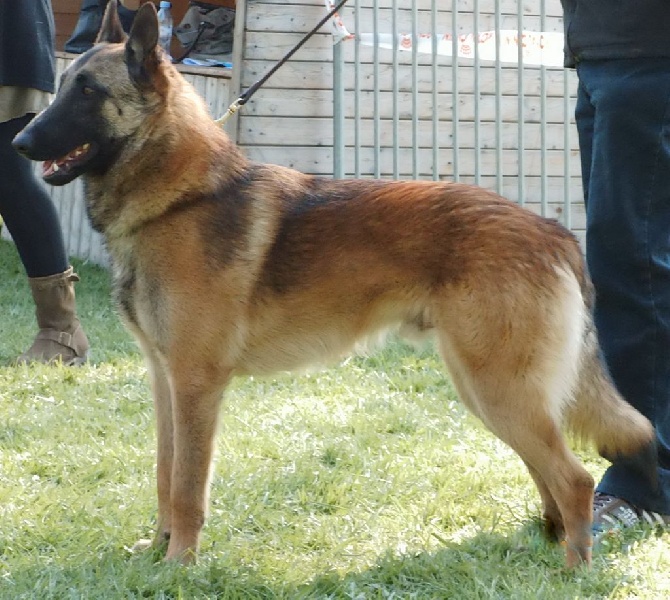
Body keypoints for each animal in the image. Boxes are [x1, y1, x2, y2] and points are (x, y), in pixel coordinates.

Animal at [13, 2, 660, 568]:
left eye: (88, 92)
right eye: (64, 83)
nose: (19, 142)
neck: (180, 197)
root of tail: (553, 231)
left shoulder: (197, 385)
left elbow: (188, 487)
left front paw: (179, 566)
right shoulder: (164, 381)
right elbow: (164, 477)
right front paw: (156, 552)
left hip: (500, 390)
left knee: (574, 480)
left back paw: (574, 569)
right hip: (490, 391)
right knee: (547, 472)